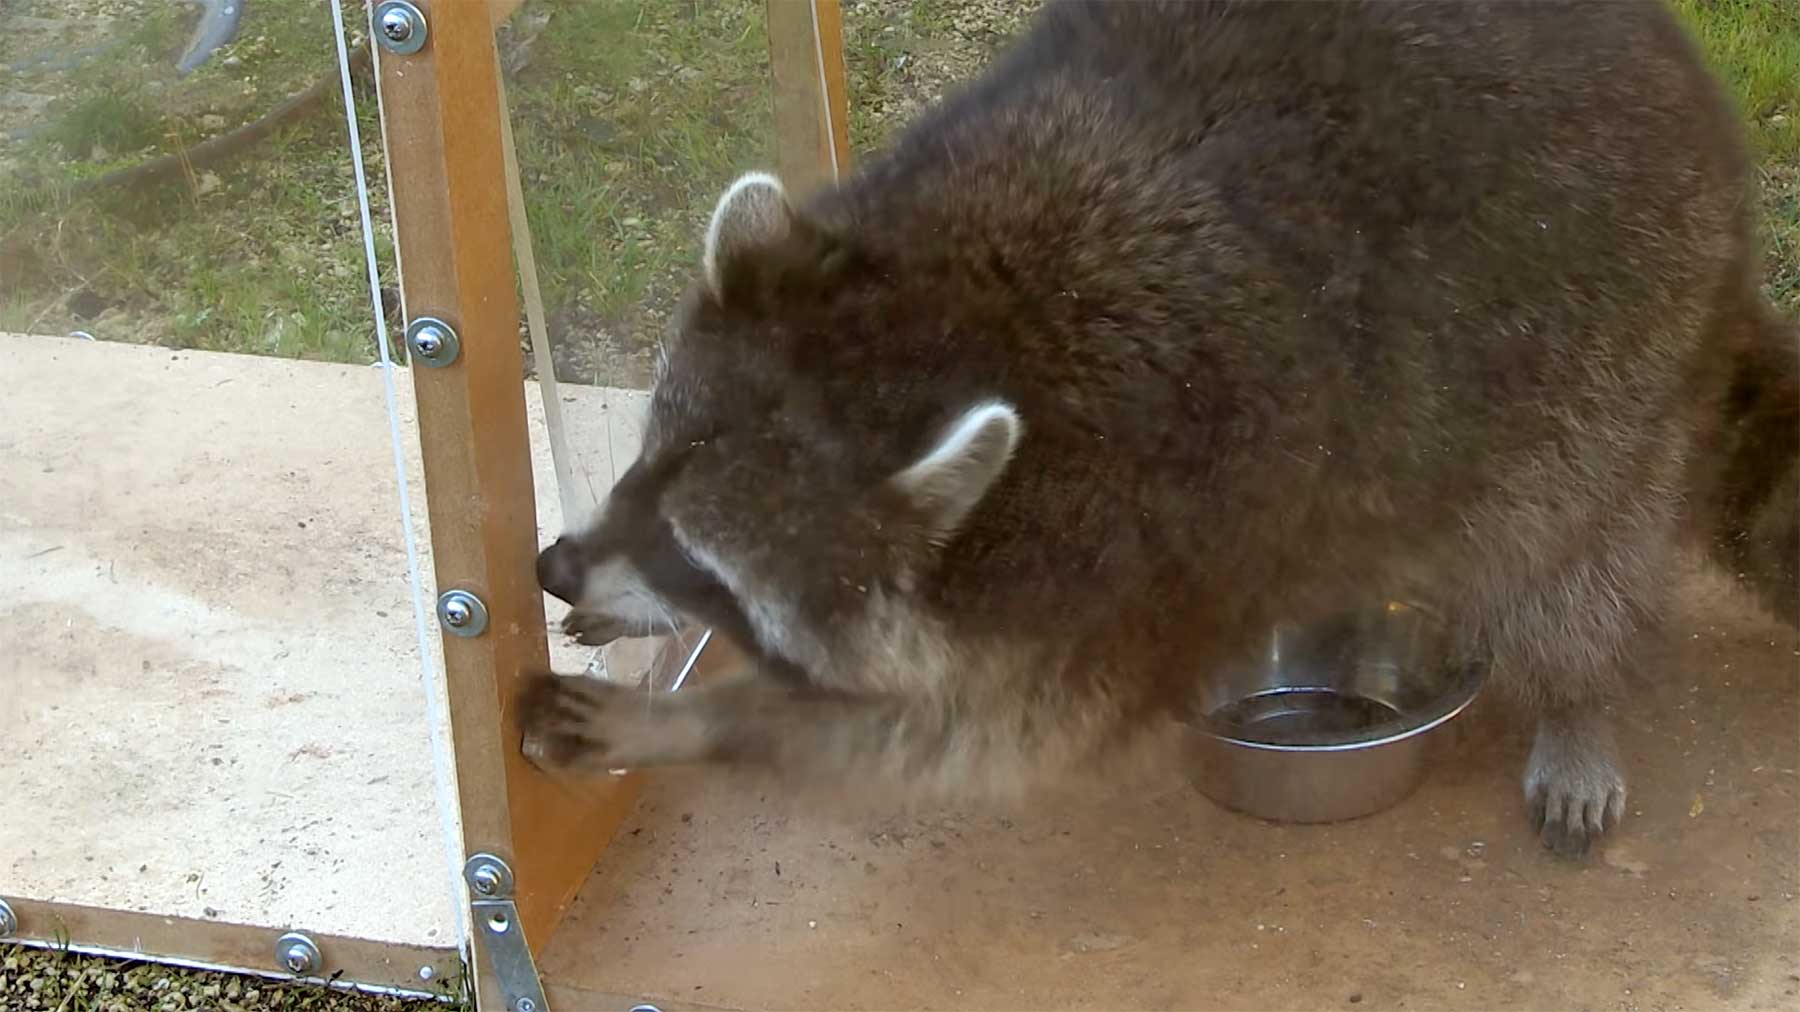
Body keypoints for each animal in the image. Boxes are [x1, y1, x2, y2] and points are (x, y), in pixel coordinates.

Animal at [525, 0, 1800, 853]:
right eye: (639, 466)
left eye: (708, 562)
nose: (553, 566)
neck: (962, 315)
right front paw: (629, 616)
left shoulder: (1136, 565)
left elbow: (960, 732)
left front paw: (698, 718)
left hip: (1616, 352)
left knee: (1569, 555)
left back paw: (1579, 695)